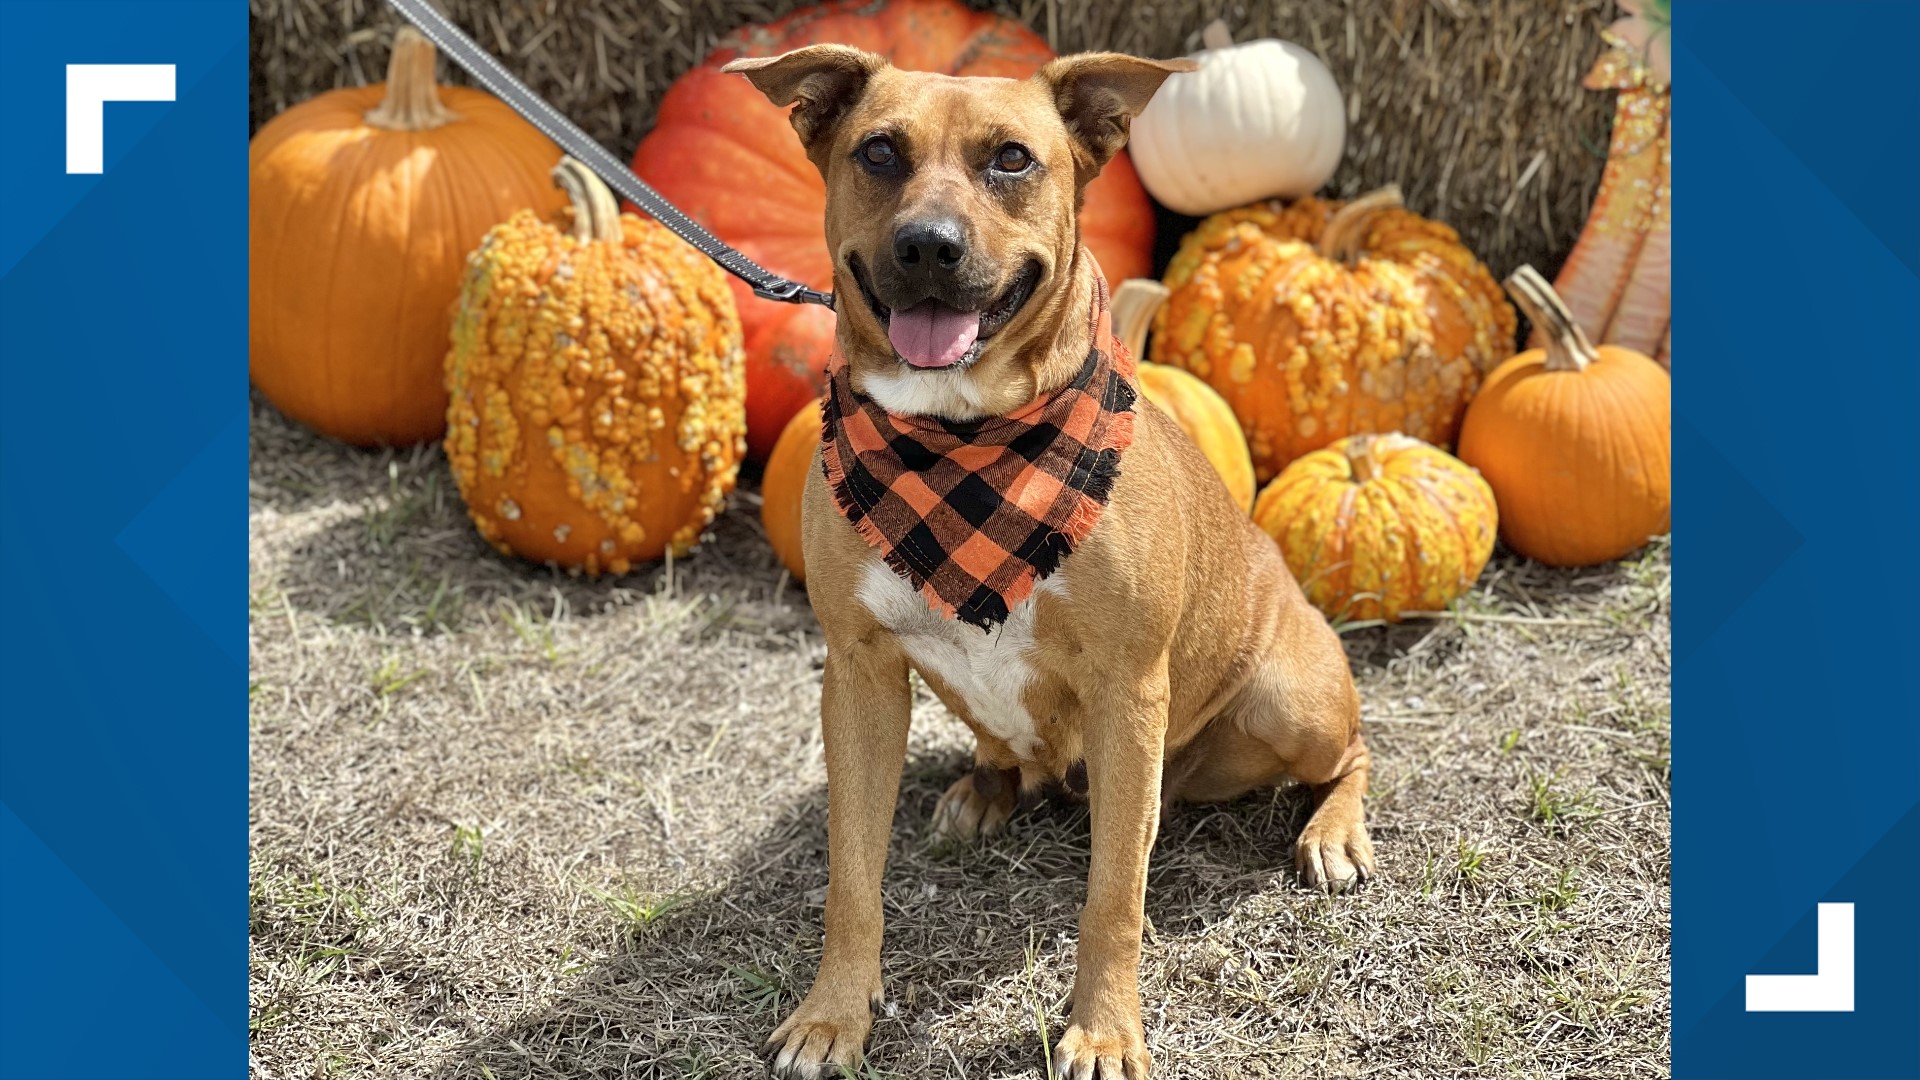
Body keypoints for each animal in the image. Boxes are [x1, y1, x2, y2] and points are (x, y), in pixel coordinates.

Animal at [725, 42, 1374, 1076]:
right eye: (878, 152)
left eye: (1012, 160)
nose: (928, 245)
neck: (962, 438)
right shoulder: (859, 675)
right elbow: (852, 878)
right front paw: (834, 1014)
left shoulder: (1128, 689)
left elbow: (1114, 896)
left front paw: (1105, 1031)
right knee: (1007, 752)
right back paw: (984, 790)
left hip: (1288, 703)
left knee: (1352, 750)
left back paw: (1334, 832)